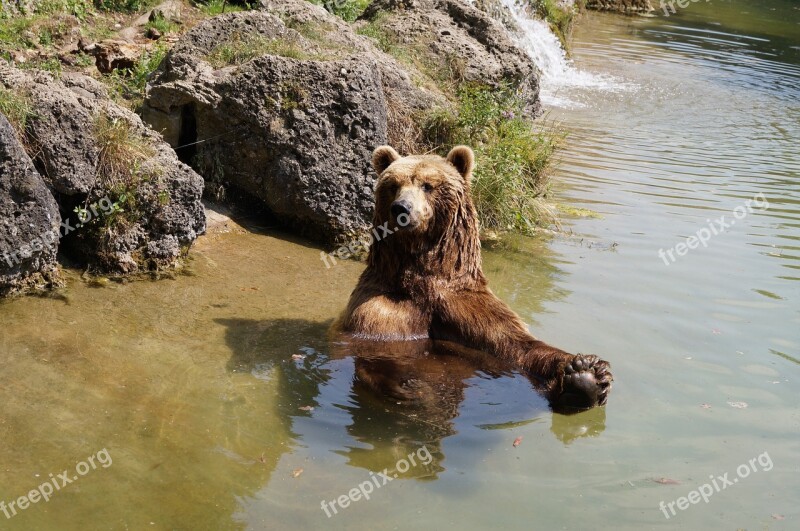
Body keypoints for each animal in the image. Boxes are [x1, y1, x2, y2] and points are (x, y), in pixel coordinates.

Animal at [334, 145, 616, 412]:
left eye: (428, 185)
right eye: (393, 185)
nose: (401, 208)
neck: (425, 279)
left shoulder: (465, 305)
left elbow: (515, 344)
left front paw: (586, 371)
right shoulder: (382, 306)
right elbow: (377, 347)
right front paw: (411, 386)